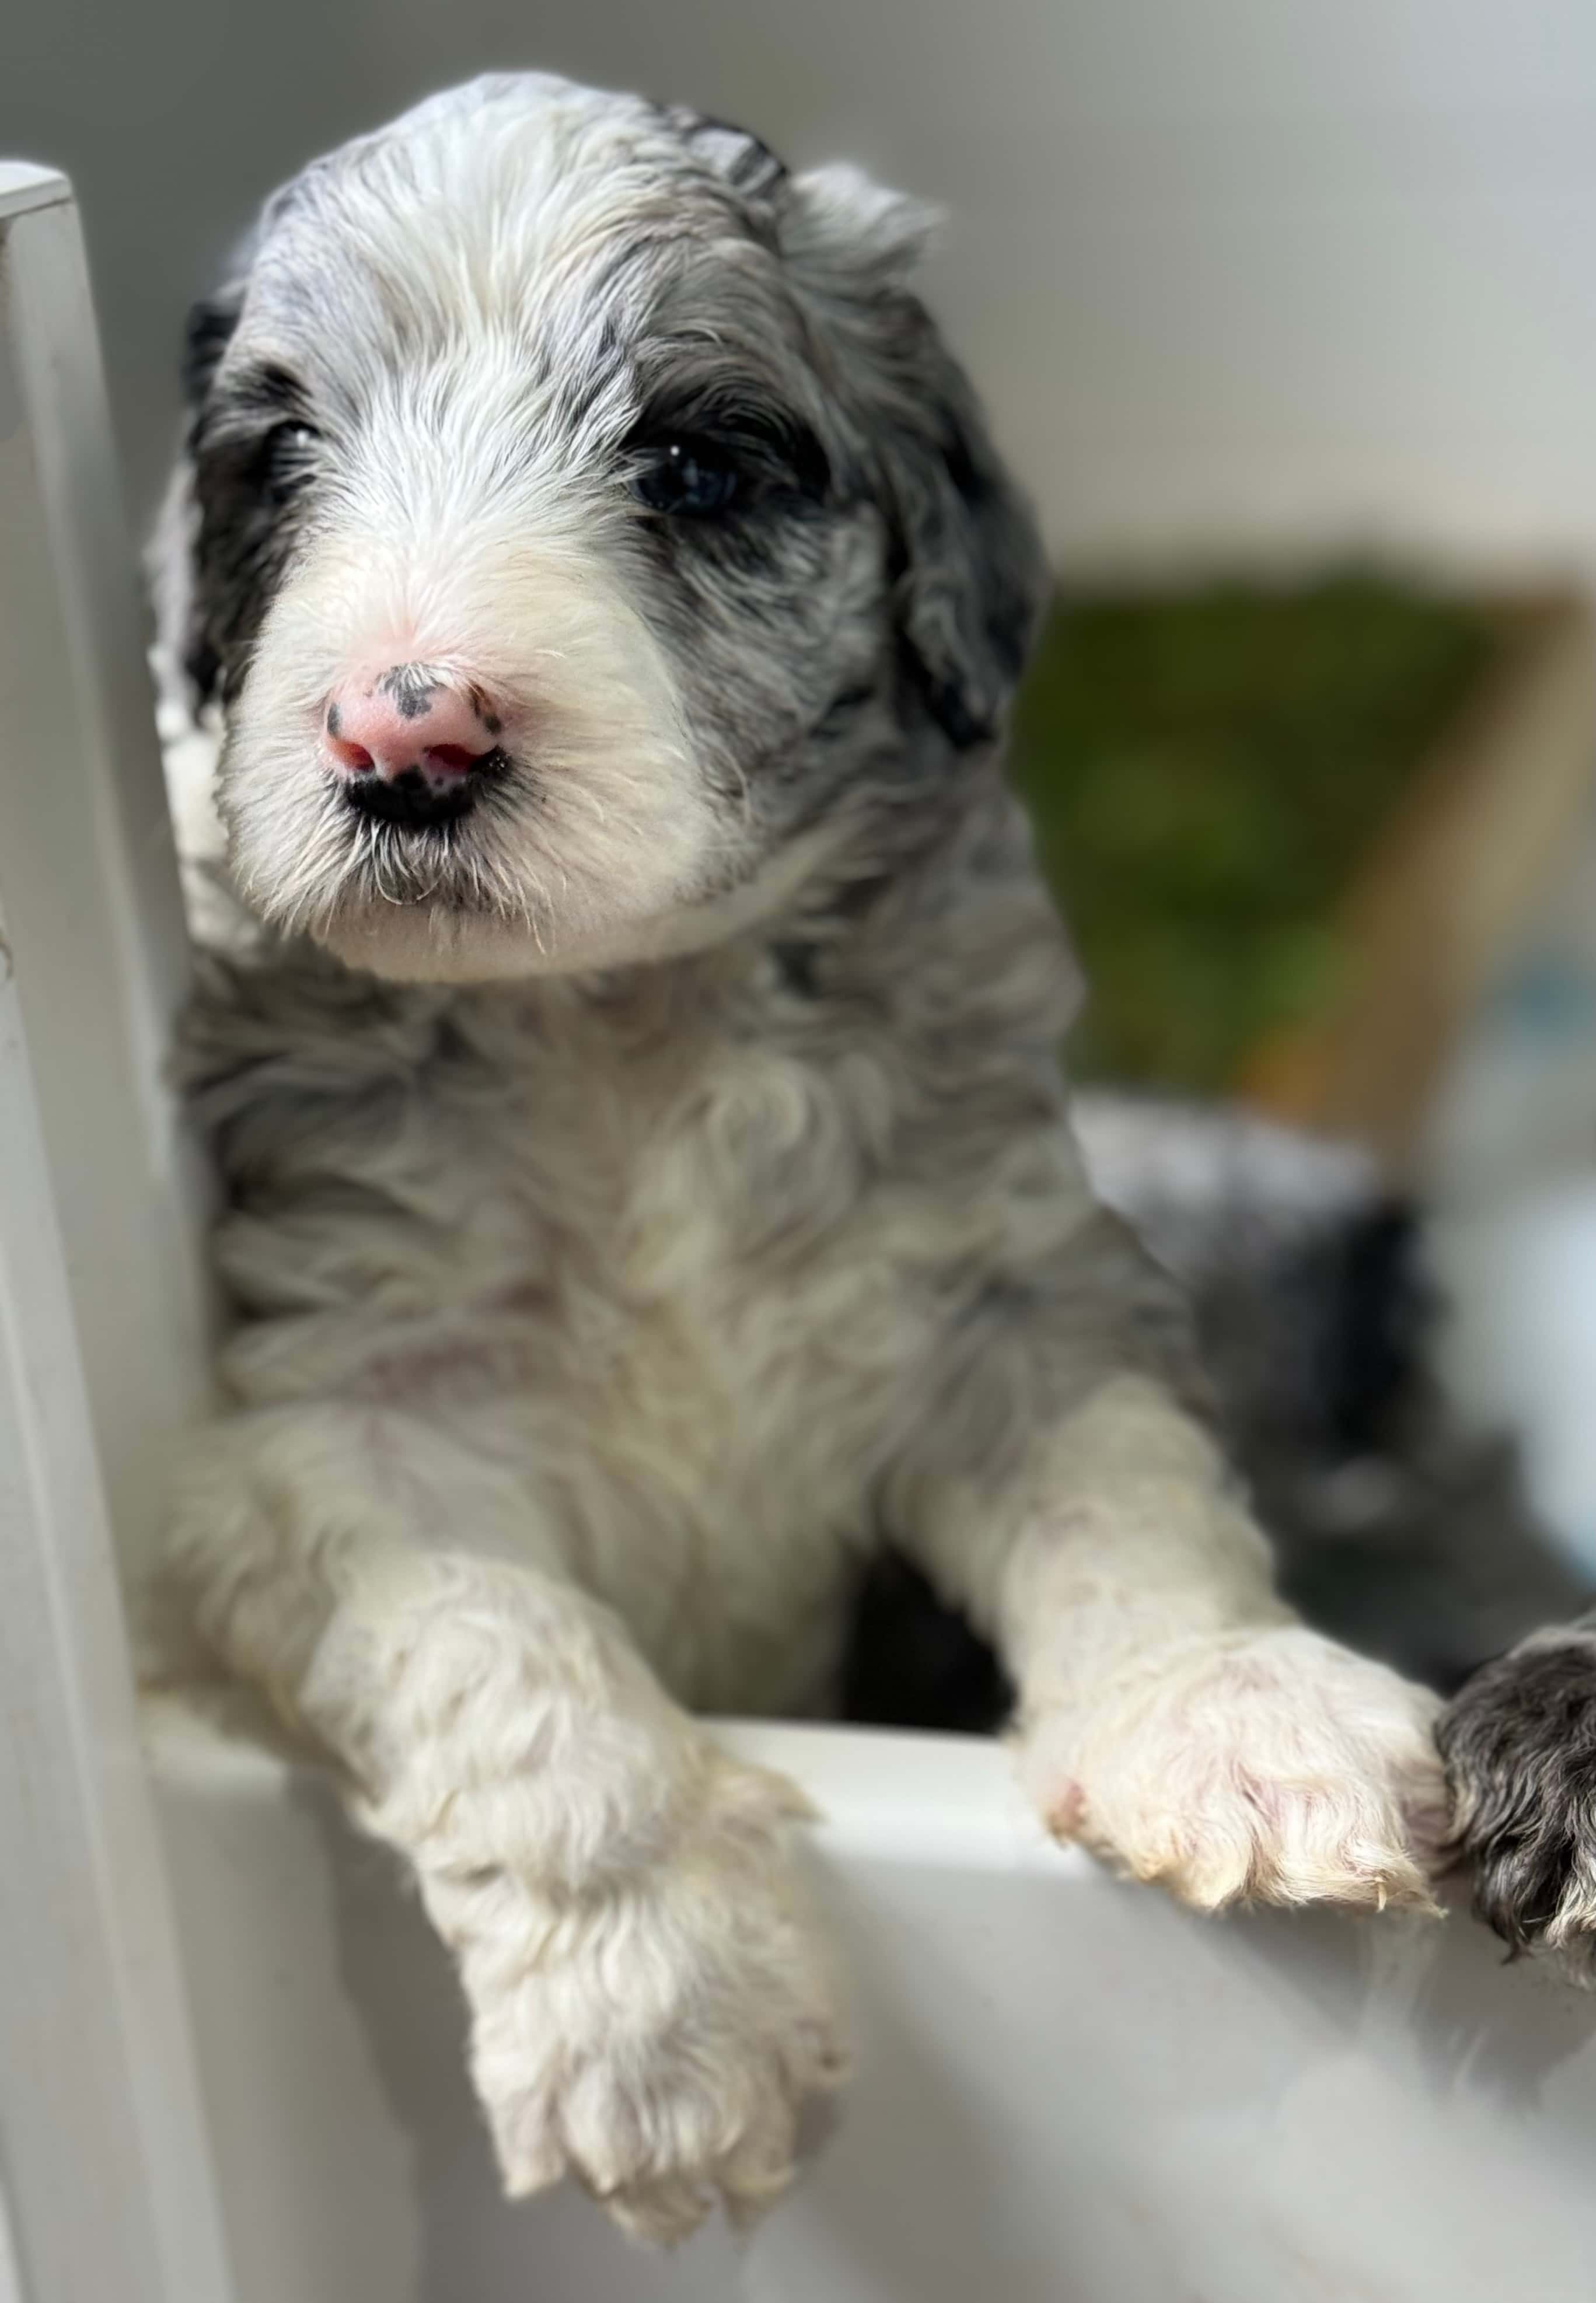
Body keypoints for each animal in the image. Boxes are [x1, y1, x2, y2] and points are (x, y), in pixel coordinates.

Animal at [159, 76, 1446, 2248]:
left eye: (693, 461)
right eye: (283, 465)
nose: (403, 736)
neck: (617, 1021)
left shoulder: (1006, 1294)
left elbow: (1129, 1507)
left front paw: (1240, 1719)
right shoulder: (344, 1424)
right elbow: (515, 1660)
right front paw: (659, 2024)